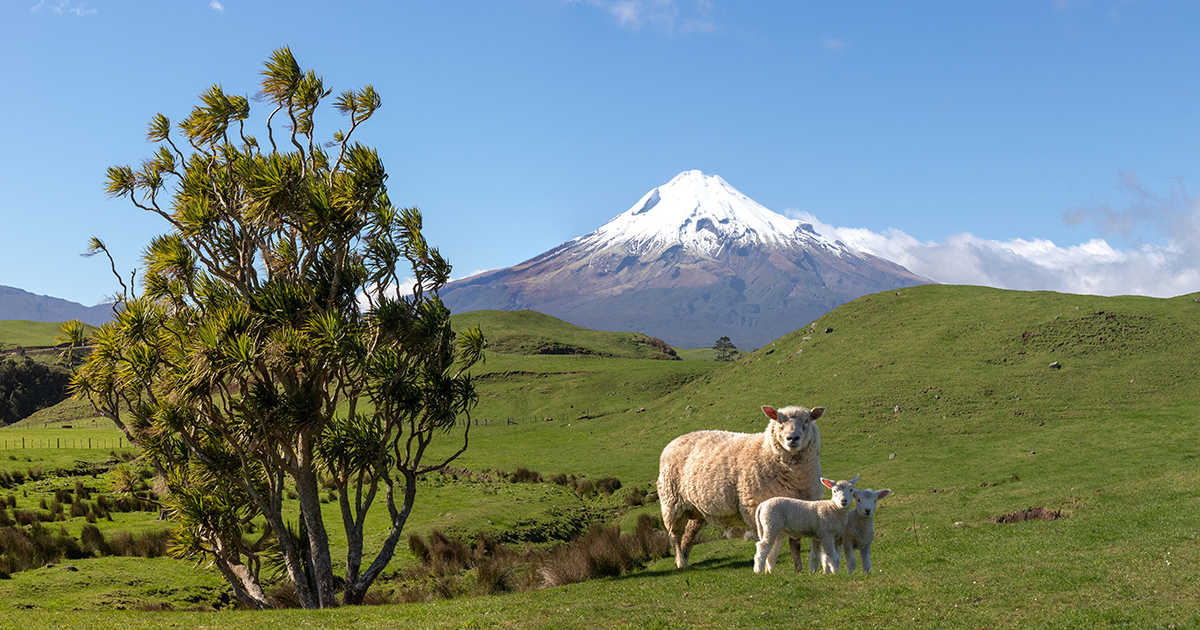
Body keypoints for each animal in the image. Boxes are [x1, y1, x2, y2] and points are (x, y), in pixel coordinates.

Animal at [658, 405, 824, 569]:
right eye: (779, 421)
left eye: (807, 420)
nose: (792, 438)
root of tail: (675, 440)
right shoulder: (756, 509)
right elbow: (768, 545)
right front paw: (767, 568)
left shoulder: (796, 511)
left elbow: (795, 545)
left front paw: (798, 569)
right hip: (671, 503)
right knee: (675, 535)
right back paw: (680, 562)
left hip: (699, 508)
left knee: (689, 533)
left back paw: (684, 559)